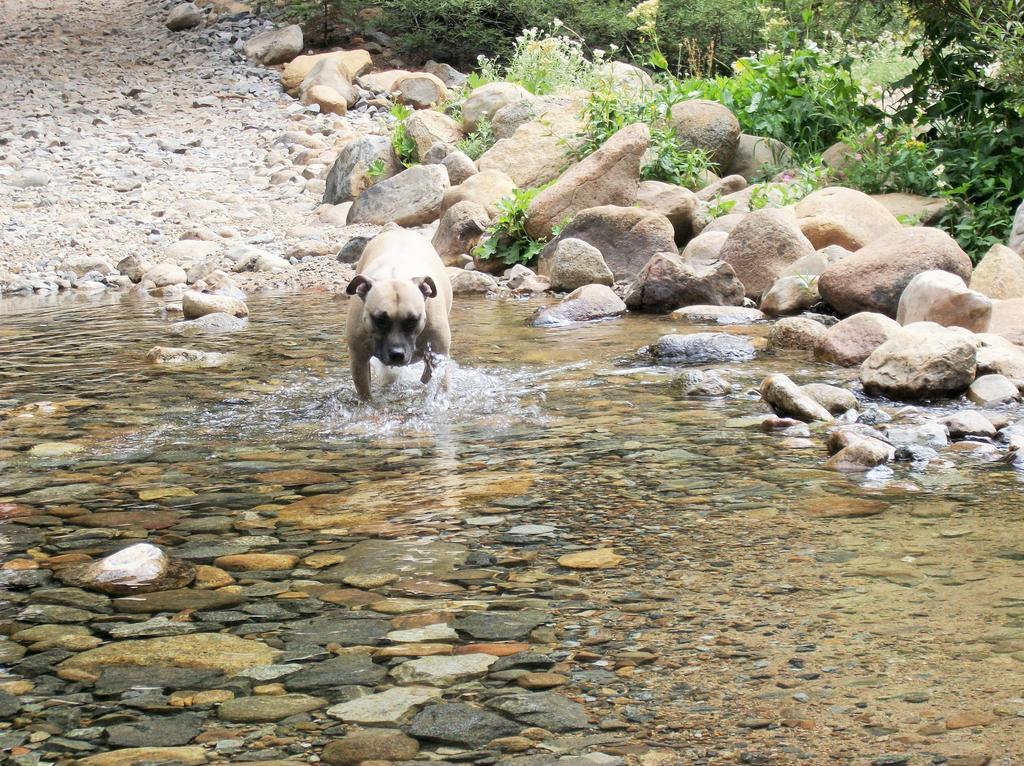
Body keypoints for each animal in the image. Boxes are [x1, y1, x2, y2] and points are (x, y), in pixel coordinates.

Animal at [346, 229, 454, 401]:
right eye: (380, 320)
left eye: (413, 320)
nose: (397, 354)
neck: (395, 275)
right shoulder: (359, 361)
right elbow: (365, 395)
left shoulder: (439, 358)